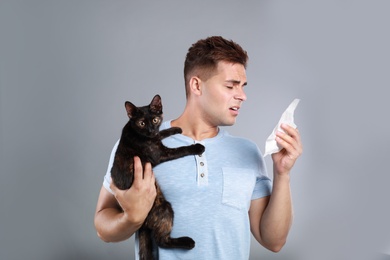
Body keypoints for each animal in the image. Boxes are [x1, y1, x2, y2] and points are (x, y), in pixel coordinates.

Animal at [109, 94, 204, 258]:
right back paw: (187, 242)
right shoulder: (161, 154)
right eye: (141, 123)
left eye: (155, 120)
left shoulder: (157, 138)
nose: (150, 130)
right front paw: (197, 147)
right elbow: (181, 149)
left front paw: (175, 129)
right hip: (165, 207)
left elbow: (161, 133)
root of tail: (141, 223)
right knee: (161, 241)